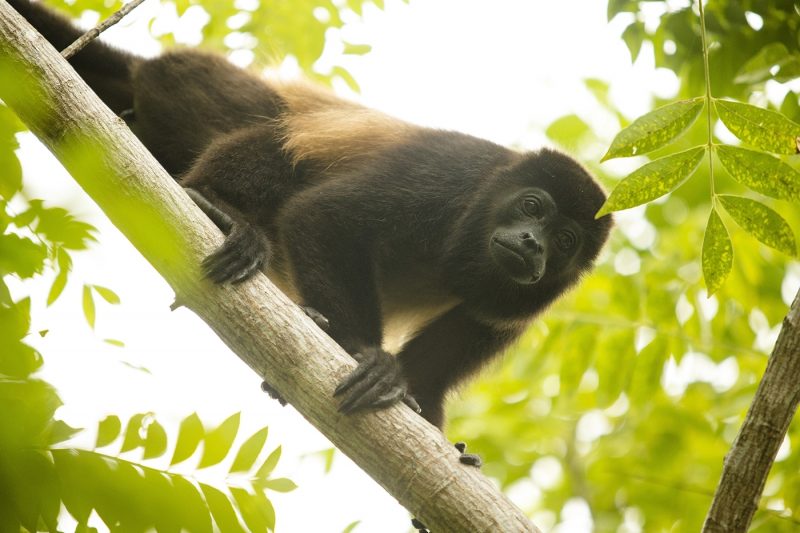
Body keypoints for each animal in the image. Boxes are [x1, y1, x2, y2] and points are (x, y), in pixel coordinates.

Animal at [9, 0, 612, 430]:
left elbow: (456, 344)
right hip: (196, 85)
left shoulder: (524, 303)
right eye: (532, 206)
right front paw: (363, 355)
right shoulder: (447, 176)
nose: (533, 244)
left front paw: (427, 411)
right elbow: (325, 215)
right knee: (278, 135)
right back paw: (218, 207)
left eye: (565, 241)